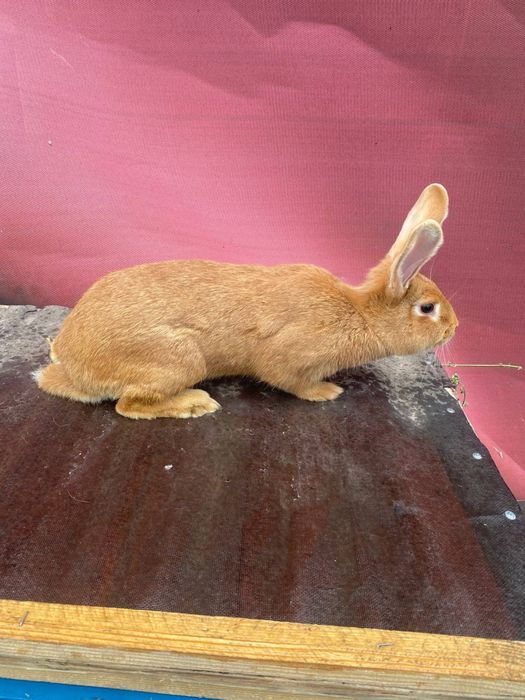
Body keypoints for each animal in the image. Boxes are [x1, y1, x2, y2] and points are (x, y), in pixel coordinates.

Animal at [34, 184, 458, 419]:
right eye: (427, 308)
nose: (454, 328)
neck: (359, 312)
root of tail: (71, 363)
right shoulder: (290, 355)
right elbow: (287, 378)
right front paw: (326, 392)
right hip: (178, 360)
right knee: (129, 405)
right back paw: (196, 403)